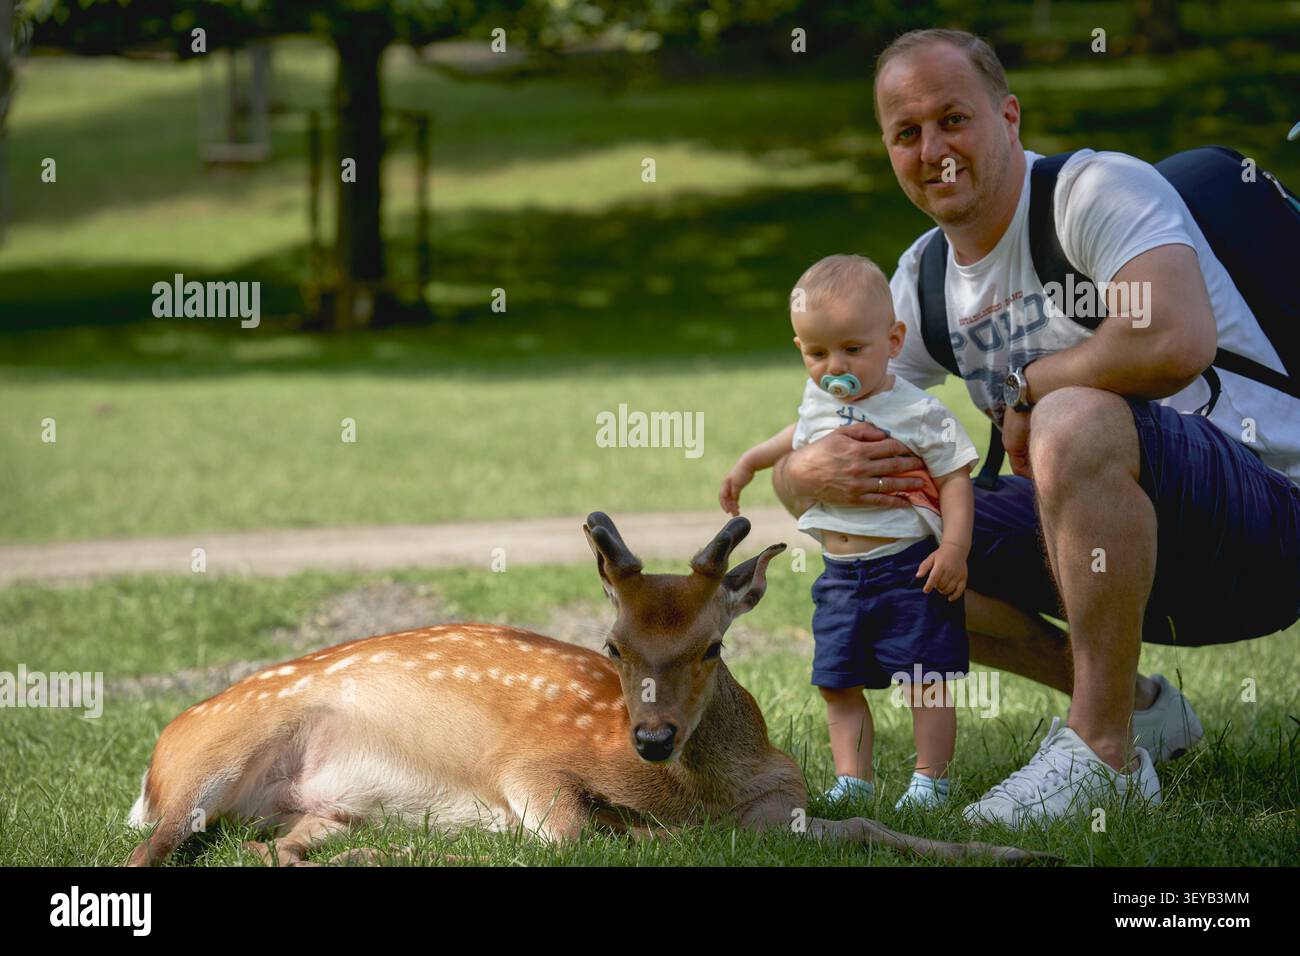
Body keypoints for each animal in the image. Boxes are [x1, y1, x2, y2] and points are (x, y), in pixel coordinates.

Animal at [125, 513, 1046, 866]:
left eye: (713, 645)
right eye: (613, 645)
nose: (651, 738)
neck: (706, 795)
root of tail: (153, 766)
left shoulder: (783, 805)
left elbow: (863, 822)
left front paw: (1020, 850)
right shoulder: (527, 765)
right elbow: (579, 831)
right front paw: (628, 825)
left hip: (309, 808)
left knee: (276, 846)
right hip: (212, 760)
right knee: (149, 851)